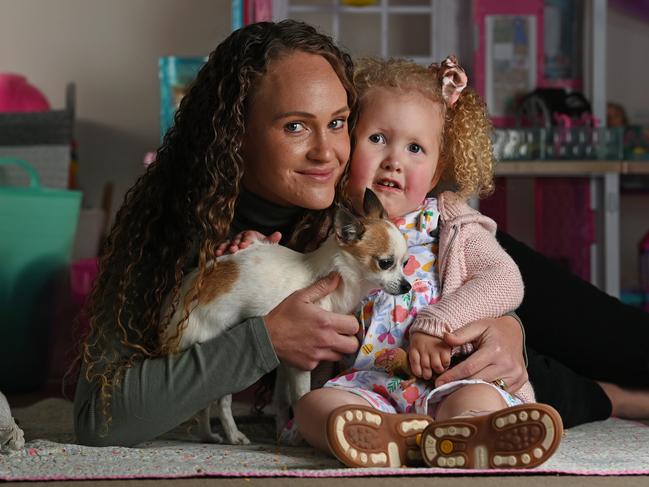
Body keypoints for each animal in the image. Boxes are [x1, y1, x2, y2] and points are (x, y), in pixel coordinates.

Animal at [162, 190, 408, 446]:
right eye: (385, 263)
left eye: (405, 263)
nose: (407, 285)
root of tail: (184, 297)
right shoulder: (302, 360)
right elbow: (301, 396)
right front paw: (299, 434)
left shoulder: (287, 360)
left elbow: (281, 401)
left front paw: (283, 433)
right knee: (221, 402)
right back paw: (233, 435)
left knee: (203, 407)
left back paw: (208, 435)